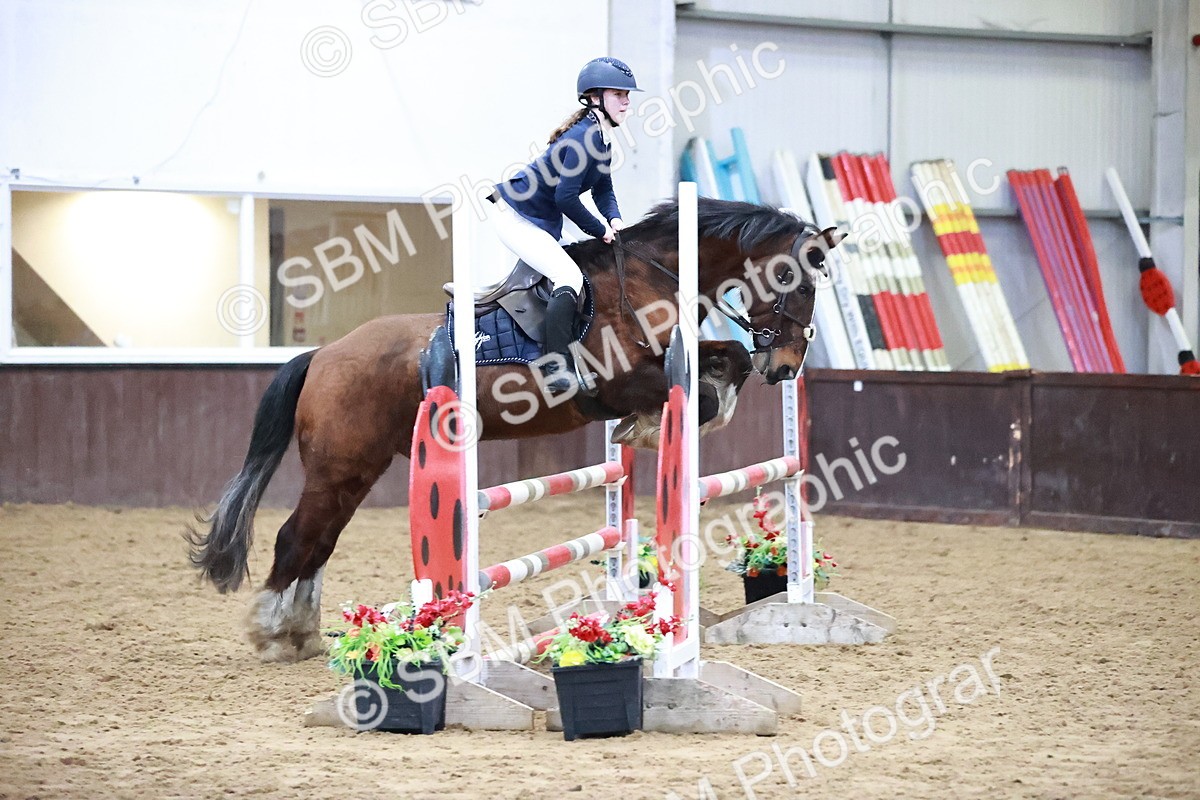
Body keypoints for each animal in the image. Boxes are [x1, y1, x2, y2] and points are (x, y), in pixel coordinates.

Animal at [187, 197, 843, 662]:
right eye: (799, 282)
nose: (786, 367)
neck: (651, 278)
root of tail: (323, 354)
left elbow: (724, 359)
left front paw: (668, 418)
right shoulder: (619, 382)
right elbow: (697, 392)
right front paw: (653, 426)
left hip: (357, 469)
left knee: (319, 540)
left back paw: (299, 633)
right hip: (340, 465)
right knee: (296, 537)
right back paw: (271, 633)